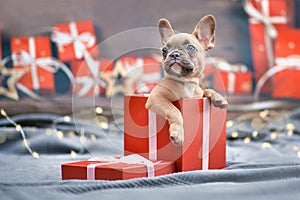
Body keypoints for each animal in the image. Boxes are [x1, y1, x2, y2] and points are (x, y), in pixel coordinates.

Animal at [145, 14, 227, 145]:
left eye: (191, 47)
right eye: (164, 50)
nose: (174, 54)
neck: (186, 82)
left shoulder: (198, 95)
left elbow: (207, 91)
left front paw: (218, 98)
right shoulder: (156, 98)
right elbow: (174, 110)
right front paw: (178, 133)